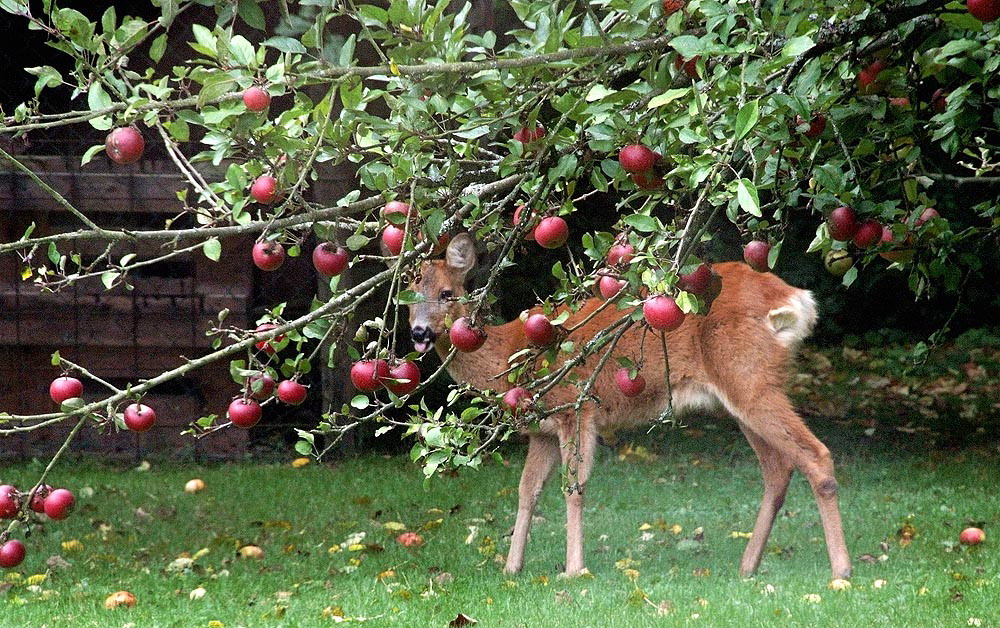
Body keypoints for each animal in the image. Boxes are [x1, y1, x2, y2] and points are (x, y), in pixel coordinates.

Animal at [404, 233, 852, 580]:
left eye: (447, 294)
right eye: (408, 299)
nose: (420, 332)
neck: (511, 354)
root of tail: (796, 299)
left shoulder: (575, 408)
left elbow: (574, 488)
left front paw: (573, 570)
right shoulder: (542, 430)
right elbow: (526, 491)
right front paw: (512, 568)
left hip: (749, 376)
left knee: (816, 455)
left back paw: (841, 570)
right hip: (743, 392)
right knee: (778, 468)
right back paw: (748, 567)